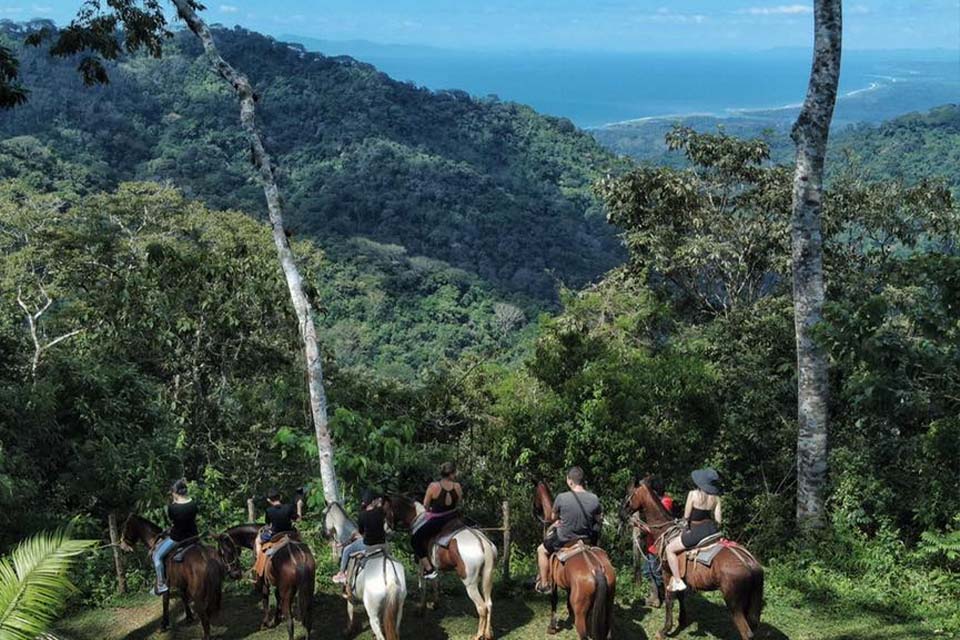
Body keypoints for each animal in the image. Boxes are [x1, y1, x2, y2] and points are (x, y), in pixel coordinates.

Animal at [322, 502, 404, 640]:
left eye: (323, 515)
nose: (323, 535)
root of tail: (391, 579)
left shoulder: (349, 595)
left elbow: (350, 611)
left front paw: (348, 631)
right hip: (398, 612)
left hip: (372, 613)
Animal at [380, 496, 496, 640]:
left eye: (385, 511)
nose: (385, 530)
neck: (417, 519)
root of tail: (482, 542)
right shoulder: (434, 565)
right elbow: (435, 582)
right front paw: (435, 604)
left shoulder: (421, 562)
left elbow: (422, 586)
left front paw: (421, 609)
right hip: (486, 578)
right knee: (489, 604)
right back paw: (488, 634)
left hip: (470, 584)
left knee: (482, 607)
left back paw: (478, 635)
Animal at [532, 480, 616, 640]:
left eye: (535, 496)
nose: (534, 512)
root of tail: (596, 569)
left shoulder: (553, 582)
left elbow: (553, 600)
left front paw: (552, 627)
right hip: (609, 606)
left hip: (581, 615)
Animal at [624, 478, 764, 636]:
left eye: (628, 493)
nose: (621, 513)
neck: (665, 531)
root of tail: (750, 564)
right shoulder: (680, 575)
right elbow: (681, 596)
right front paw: (682, 620)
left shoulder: (667, 572)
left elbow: (669, 599)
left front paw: (666, 629)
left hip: (734, 605)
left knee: (746, 632)